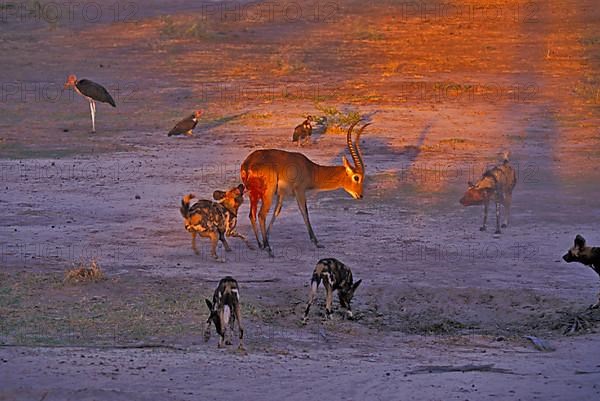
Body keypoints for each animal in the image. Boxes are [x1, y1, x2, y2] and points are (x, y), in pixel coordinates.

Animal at [240, 120, 370, 255]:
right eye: (356, 177)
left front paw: (267, 237)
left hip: (253, 194)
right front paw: (316, 242)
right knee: (261, 215)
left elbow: (276, 212)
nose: (360, 195)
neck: (310, 169)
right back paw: (268, 248)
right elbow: (304, 212)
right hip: (267, 194)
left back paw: (261, 244)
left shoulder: (281, 194)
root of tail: (248, 163)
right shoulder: (300, 191)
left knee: (252, 215)